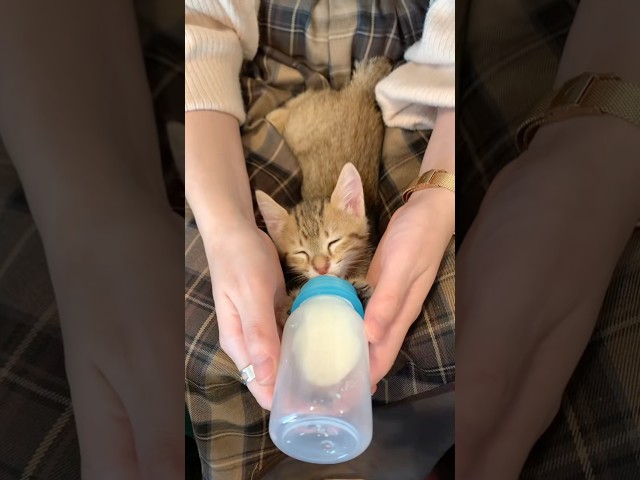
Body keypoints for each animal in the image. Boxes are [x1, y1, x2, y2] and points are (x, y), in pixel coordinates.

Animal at [255, 57, 392, 317]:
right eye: (301, 252)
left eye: (334, 242)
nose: (321, 267)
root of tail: (357, 93)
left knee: (303, 99)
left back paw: (272, 116)